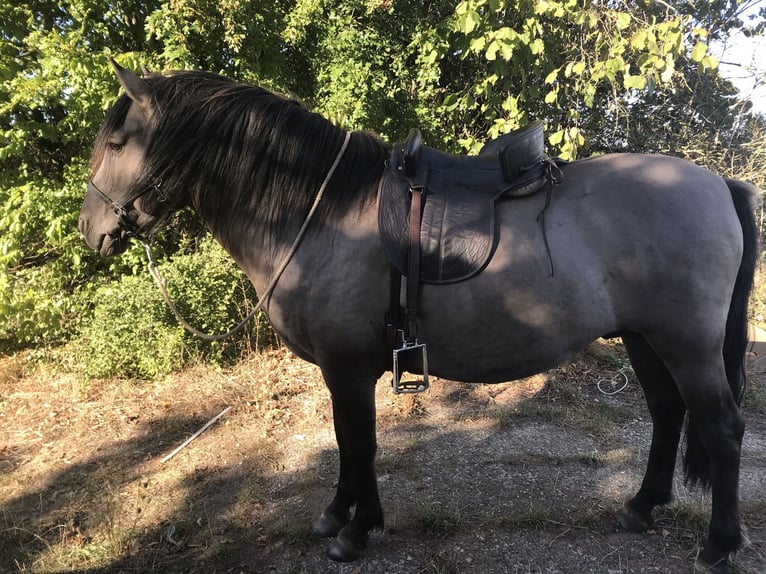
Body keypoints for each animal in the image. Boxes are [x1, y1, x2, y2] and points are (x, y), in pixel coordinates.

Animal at [78, 61, 758, 572]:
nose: (91, 230)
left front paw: (356, 532)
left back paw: (718, 546)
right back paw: (641, 507)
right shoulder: (342, 371)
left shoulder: (348, 369)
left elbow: (360, 442)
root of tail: (719, 184)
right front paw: (338, 515)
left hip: (687, 343)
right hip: (645, 338)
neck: (321, 214)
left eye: (116, 142)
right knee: (668, 413)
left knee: (721, 427)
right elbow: (346, 441)